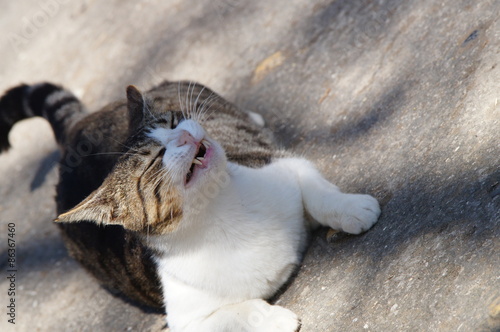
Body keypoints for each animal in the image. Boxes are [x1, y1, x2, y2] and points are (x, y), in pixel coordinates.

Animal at [0, 81, 380, 332]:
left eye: (170, 123)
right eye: (154, 159)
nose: (183, 134)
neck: (223, 212)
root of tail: (75, 132)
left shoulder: (280, 163)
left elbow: (318, 192)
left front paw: (352, 209)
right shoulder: (185, 319)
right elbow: (231, 316)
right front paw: (268, 317)